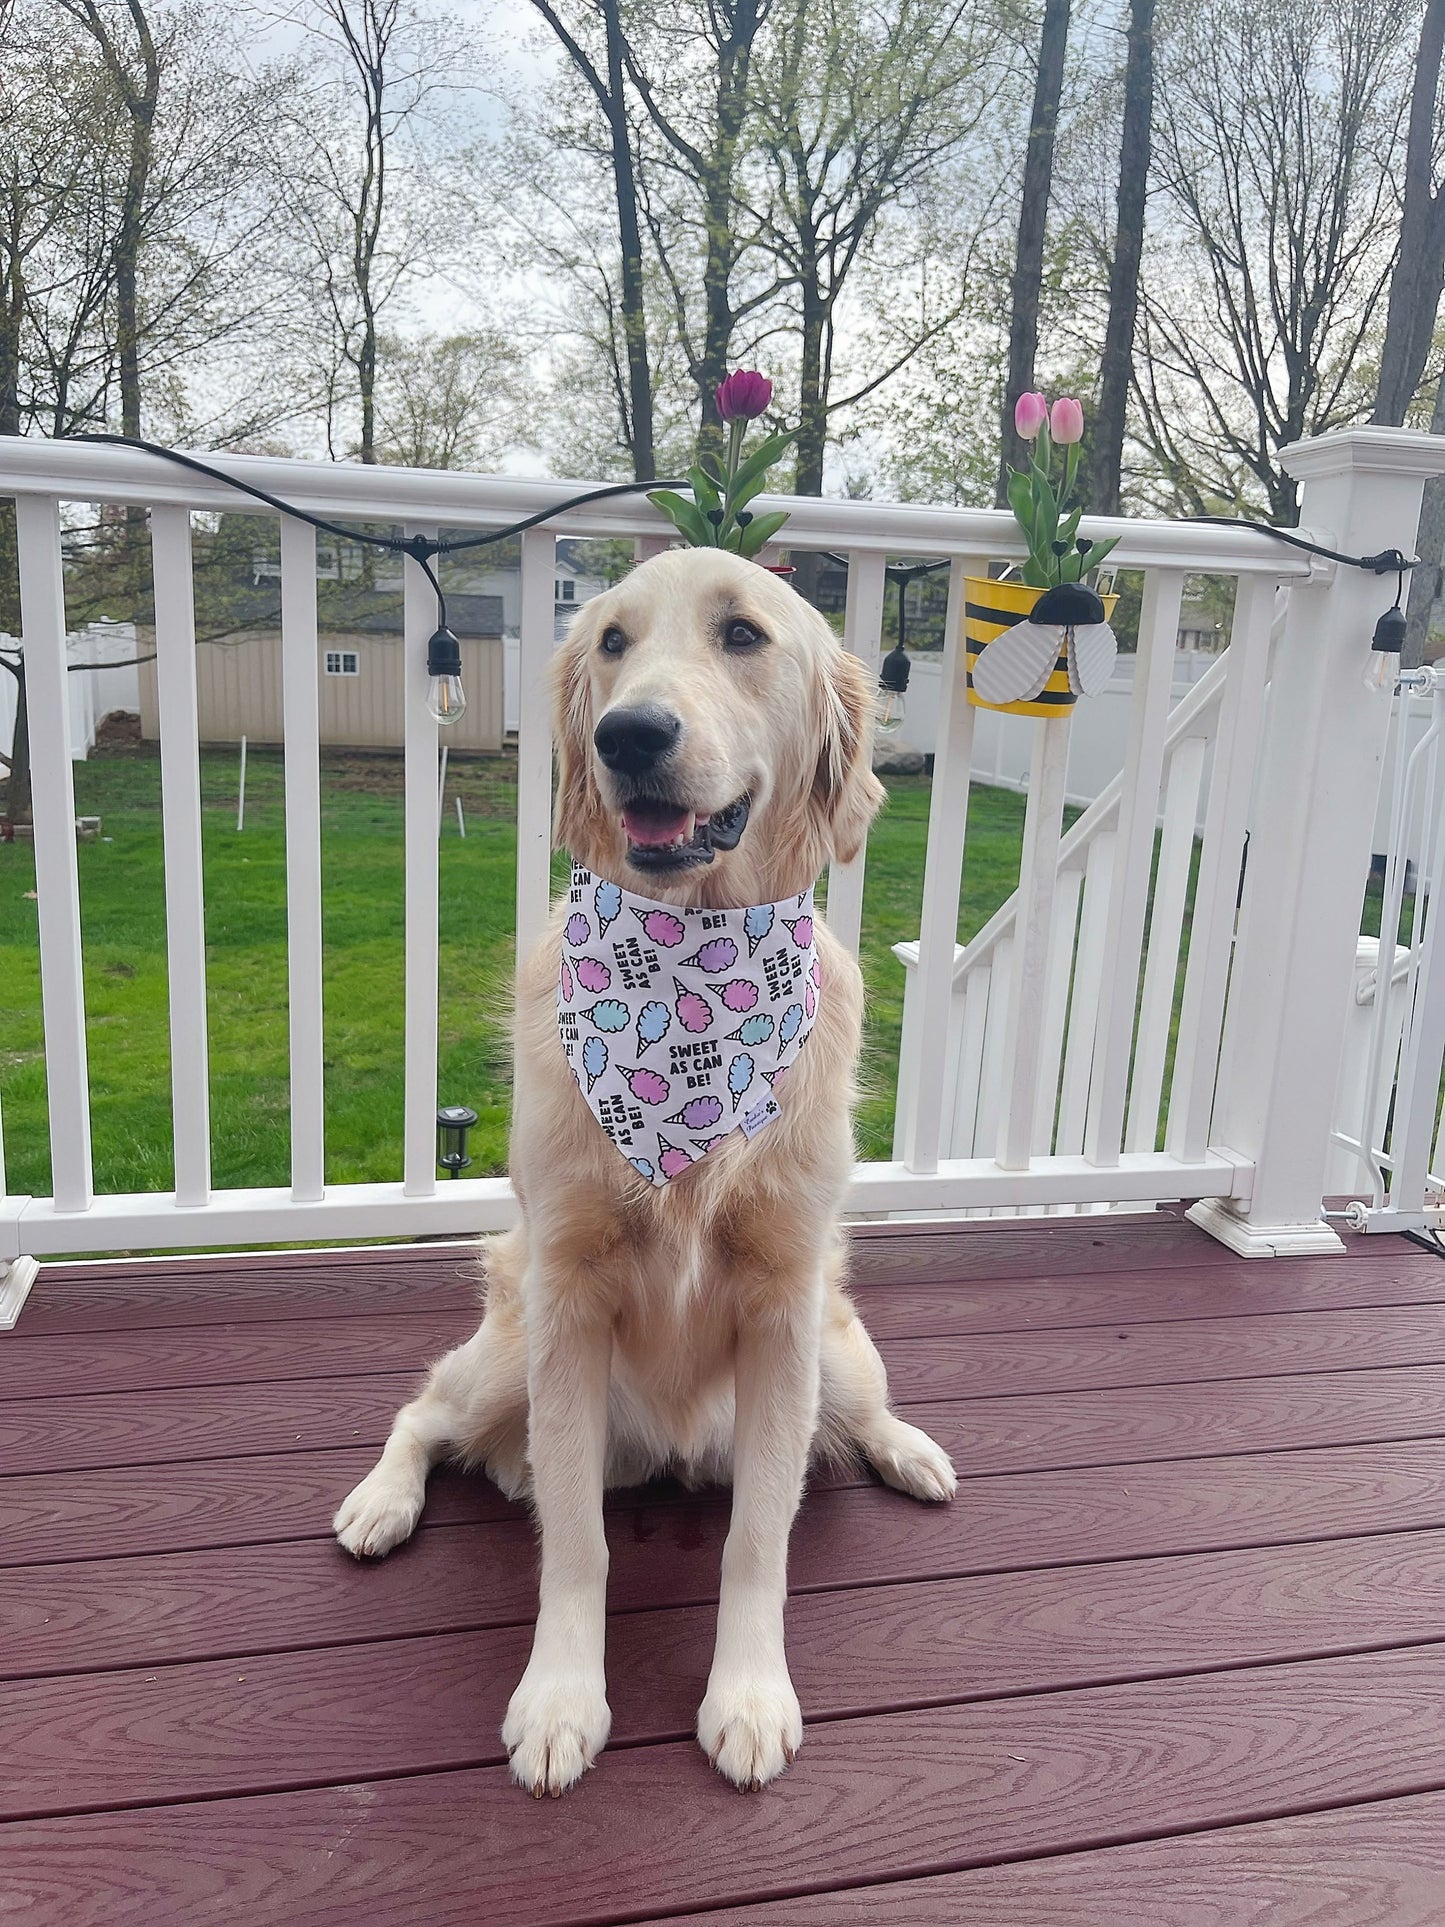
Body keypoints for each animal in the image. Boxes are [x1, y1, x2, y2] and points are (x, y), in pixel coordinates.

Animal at [333, 551, 955, 1795]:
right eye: (611, 641)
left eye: (742, 634)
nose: (627, 734)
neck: (695, 967)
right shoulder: (568, 1300)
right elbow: (575, 1541)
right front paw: (561, 1700)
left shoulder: (783, 1306)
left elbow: (759, 1536)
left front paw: (748, 1696)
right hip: (508, 1355)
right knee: (423, 1409)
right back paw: (380, 1502)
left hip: (835, 1351)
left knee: (860, 1415)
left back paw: (909, 1448)